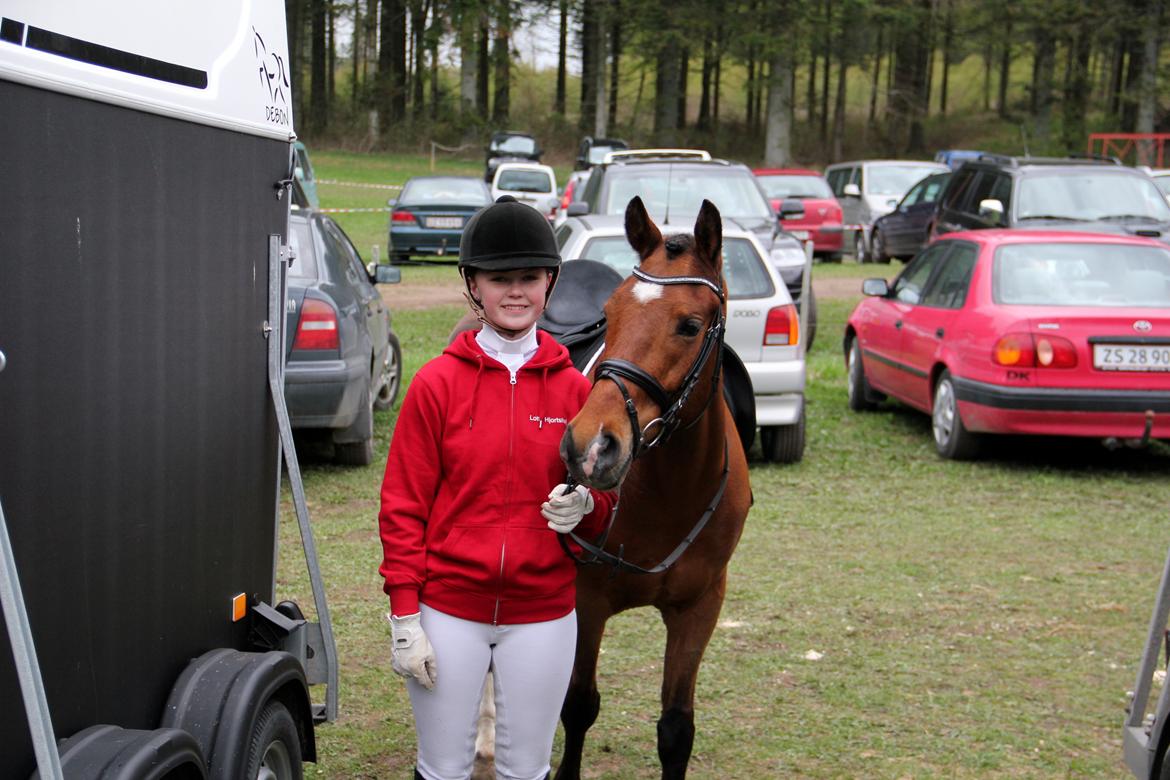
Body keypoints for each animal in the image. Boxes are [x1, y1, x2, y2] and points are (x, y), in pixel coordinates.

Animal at [554, 196, 753, 780]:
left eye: (689, 325)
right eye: (612, 313)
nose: (590, 445)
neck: (672, 489)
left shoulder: (700, 607)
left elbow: (676, 730)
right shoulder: (587, 601)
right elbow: (578, 706)